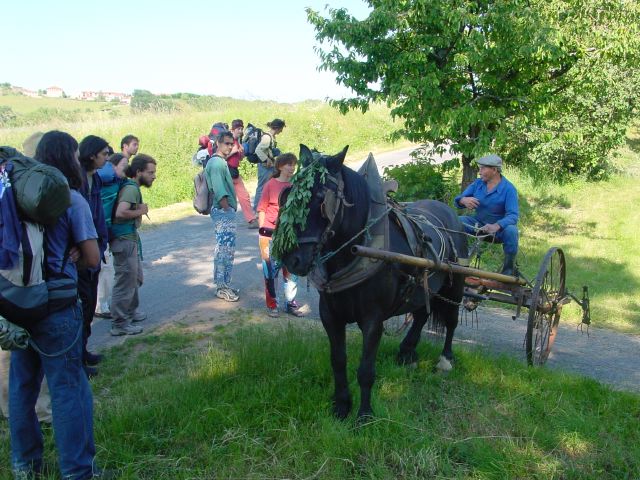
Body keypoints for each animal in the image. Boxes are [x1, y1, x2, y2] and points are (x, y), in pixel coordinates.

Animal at [282, 145, 468, 420]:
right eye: (288, 194)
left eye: (321, 199)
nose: (292, 259)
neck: (357, 251)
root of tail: (448, 212)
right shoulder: (330, 315)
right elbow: (338, 361)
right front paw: (341, 406)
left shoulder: (373, 320)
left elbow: (366, 370)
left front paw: (364, 415)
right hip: (423, 287)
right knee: (421, 314)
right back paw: (407, 351)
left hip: (455, 286)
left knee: (452, 321)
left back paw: (445, 359)